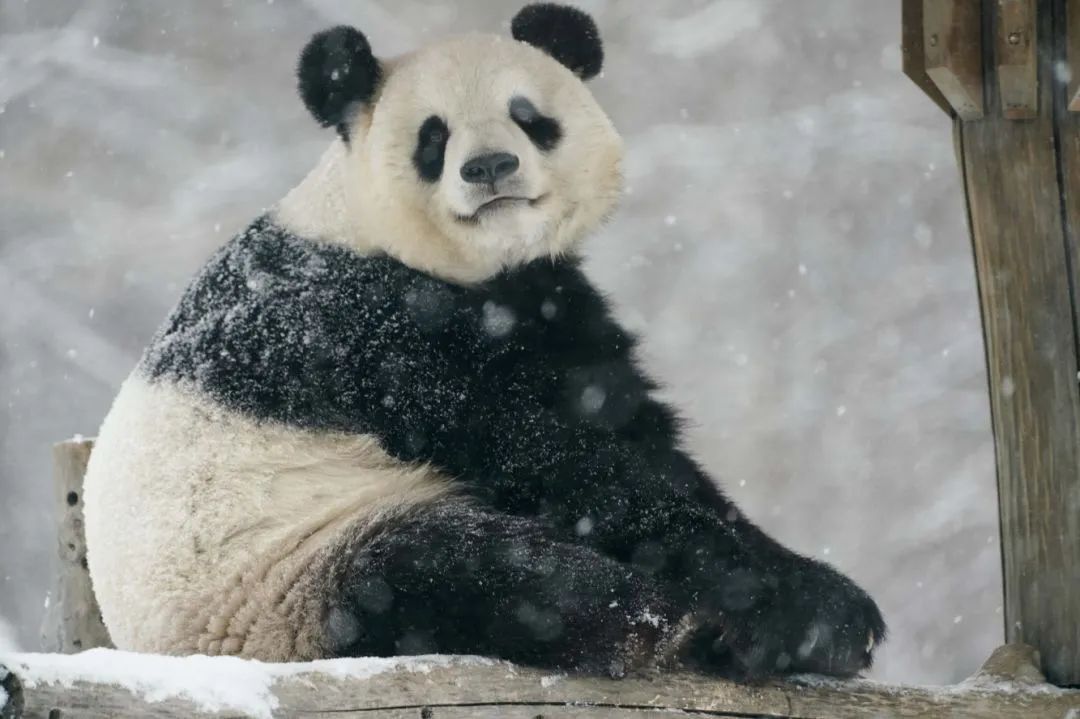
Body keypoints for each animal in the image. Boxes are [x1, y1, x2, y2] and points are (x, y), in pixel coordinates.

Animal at [79, 5, 881, 677]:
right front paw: (809, 612)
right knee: (460, 572)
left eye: (528, 117)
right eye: (432, 137)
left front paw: (823, 611)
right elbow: (570, 459)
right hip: (287, 566)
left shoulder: (545, 301)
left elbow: (626, 431)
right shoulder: (381, 331)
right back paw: (666, 625)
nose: (489, 167)